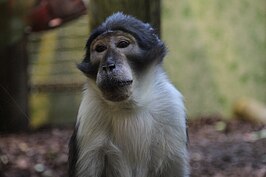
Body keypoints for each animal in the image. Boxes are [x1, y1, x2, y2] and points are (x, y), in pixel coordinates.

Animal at [68, 12, 189, 177]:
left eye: (123, 44)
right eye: (100, 48)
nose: (108, 66)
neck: (128, 106)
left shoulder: (171, 107)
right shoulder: (89, 114)